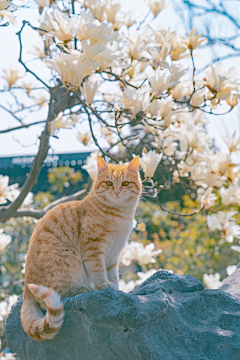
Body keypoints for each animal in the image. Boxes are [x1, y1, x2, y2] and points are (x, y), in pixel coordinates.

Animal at [20, 155, 142, 340]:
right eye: (108, 183)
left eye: (125, 183)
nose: (116, 191)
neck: (120, 216)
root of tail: (26, 289)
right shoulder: (93, 248)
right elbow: (99, 270)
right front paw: (104, 285)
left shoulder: (114, 254)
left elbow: (113, 274)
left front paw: (117, 290)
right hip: (67, 259)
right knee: (61, 294)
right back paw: (85, 289)